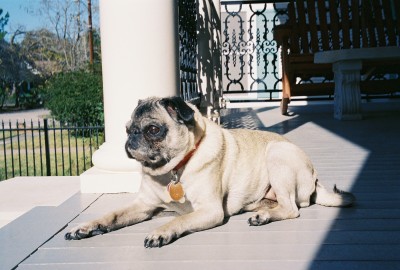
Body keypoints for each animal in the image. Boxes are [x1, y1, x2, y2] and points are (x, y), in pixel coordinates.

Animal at [64, 96, 354, 248]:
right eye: (127, 129)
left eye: (153, 130)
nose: (131, 137)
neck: (172, 171)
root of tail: (315, 177)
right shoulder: (143, 206)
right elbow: (112, 215)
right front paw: (87, 227)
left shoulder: (210, 210)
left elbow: (178, 219)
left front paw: (161, 231)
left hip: (277, 155)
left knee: (292, 208)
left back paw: (263, 217)